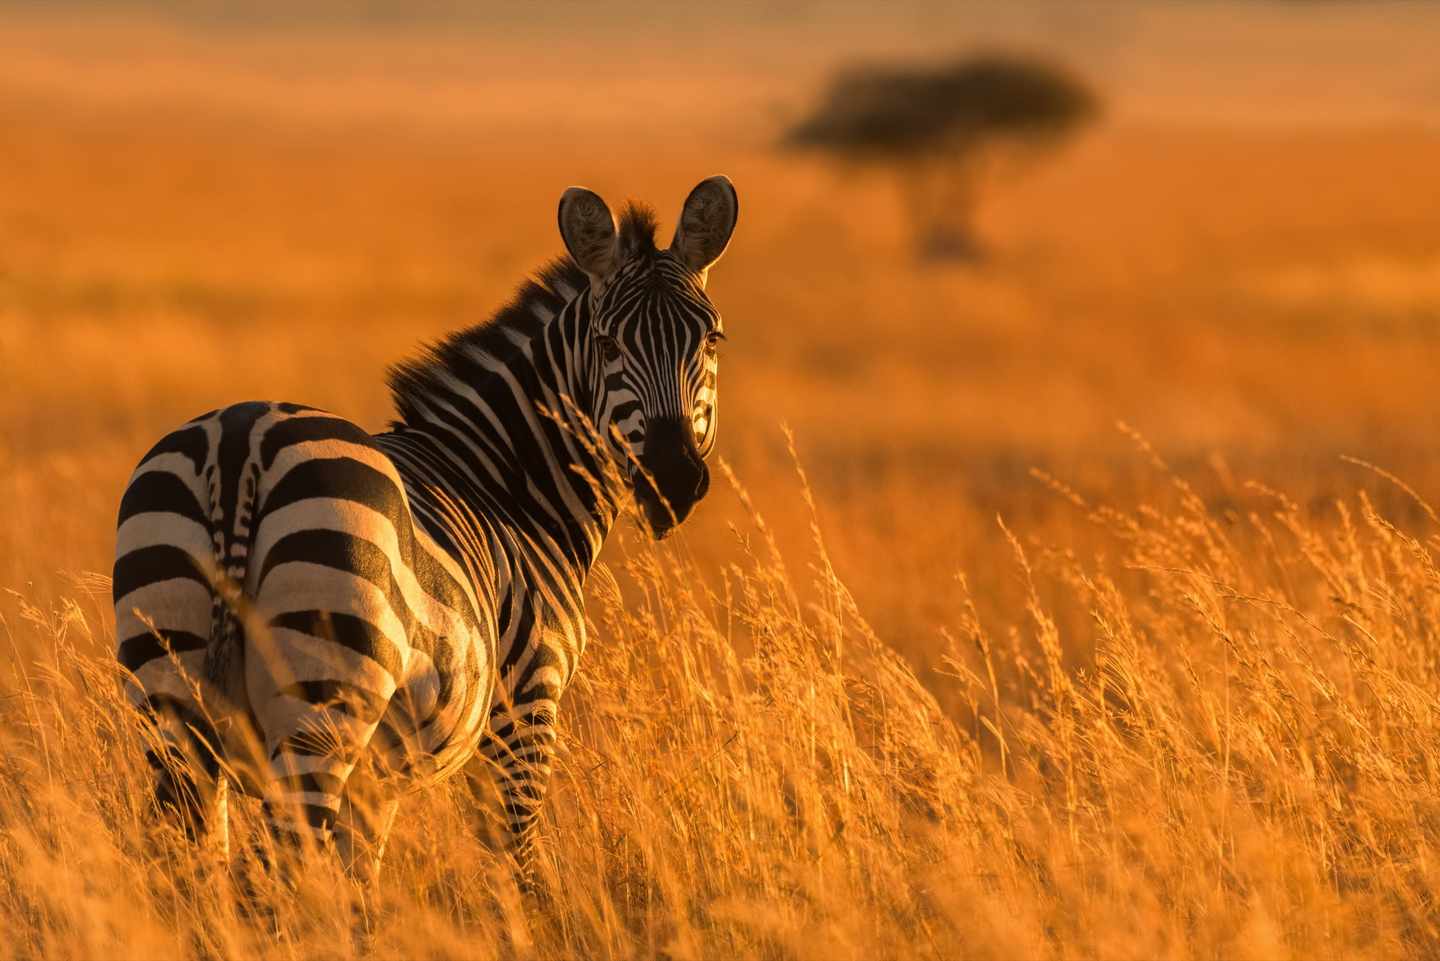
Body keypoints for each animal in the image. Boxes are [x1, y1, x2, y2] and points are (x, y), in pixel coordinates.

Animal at [112, 176, 738, 886]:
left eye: (711, 341)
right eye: (608, 346)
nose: (671, 480)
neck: (506, 484)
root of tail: (239, 444)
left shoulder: (379, 778)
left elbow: (360, 882)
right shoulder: (526, 705)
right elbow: (515, 864)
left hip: (169, 694)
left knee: (189, 863)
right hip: (323, 703)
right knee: (283, 861)